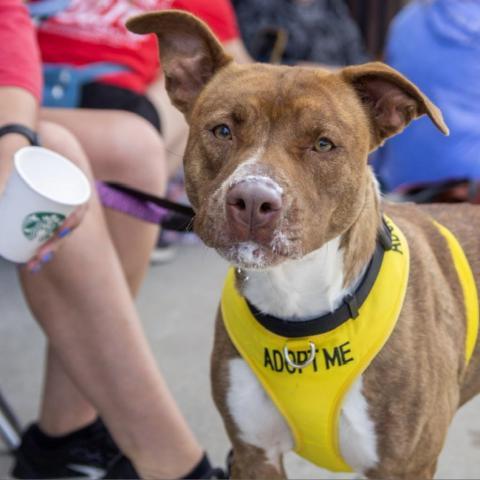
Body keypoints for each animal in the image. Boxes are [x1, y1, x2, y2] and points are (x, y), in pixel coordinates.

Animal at [128, 9, 480, 478]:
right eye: (222, 130)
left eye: (323, 144)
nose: (253, 200)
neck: (298, 308)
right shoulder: (253, 453)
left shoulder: (404, 465)